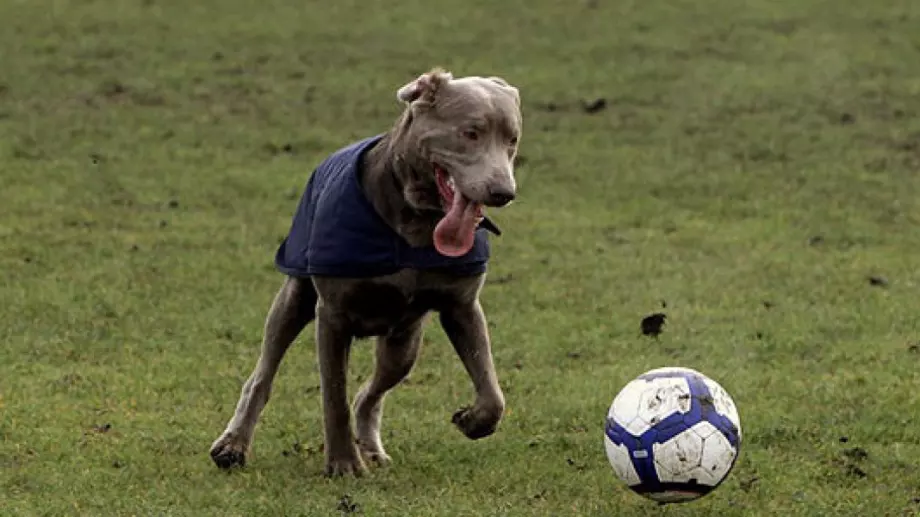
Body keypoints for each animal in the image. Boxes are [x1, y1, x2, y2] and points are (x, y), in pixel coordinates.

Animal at [210, 68, 524, 476]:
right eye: (470, 132)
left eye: (512, 140)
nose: (503, 192)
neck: (417, 222)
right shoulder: (332, 315)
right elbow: (334, 395)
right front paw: (344, 463)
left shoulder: (462, 307)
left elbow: (492, 394)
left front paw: (471, 420)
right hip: (293, 299)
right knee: (264, 372)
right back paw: (233, 445)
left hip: (404, 341)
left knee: (369, 393)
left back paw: (372, 449)